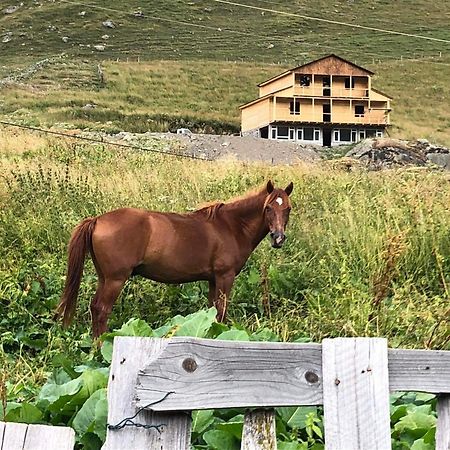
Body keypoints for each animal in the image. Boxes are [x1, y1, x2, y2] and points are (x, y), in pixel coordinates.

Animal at [56, 180, 294, 338]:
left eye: (288, 208)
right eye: (268, 207)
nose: (278, 238)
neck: (231, 226)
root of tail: (97, 220)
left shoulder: (213, 279)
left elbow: (212, 311)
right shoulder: (225, 277)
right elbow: (221, 311)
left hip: (104, 278)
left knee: (94, 308)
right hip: (115, 279)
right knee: (101, 309)